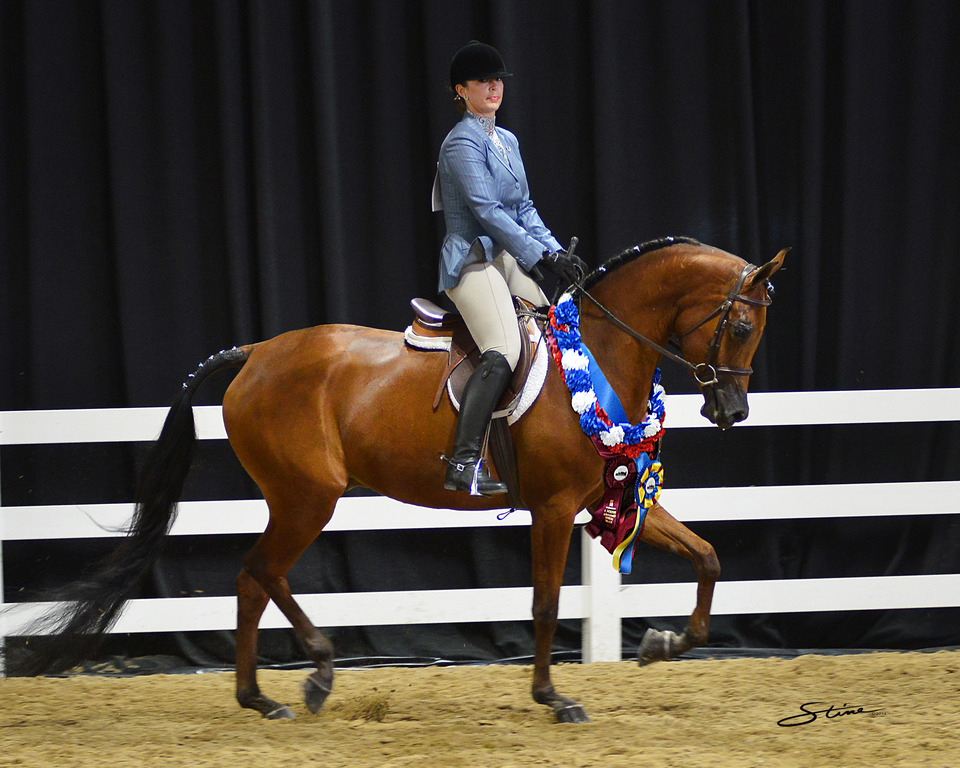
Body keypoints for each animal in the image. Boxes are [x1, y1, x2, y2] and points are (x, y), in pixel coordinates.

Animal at [12, 236, 785, 724]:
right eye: (743, 326)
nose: (732, 410)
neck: (596, 351)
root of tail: (256, 352)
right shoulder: (556, 508)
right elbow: (542, 606)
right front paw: (552, 697)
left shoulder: (610, 498)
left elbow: (709, 557)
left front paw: (662, 646)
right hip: (309, 496)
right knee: (260, 571)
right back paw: (305, 676)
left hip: (296, 497)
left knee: (256, 577)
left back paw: (269, 692)